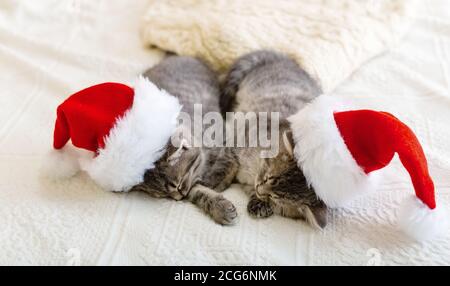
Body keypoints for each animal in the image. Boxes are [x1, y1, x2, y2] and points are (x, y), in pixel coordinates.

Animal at [130, 55, 237, 226]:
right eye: (163, 195)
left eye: (177, 184)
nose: (178, 199)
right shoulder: (192, 182)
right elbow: (198, 191)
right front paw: (219, 206)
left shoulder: (226, 138)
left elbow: (228, 162)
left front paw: (216, 181)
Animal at [219, 49, 326, 228]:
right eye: (268, 178)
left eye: (276, 199)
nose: (259, 189)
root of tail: (281, 57)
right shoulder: (236, 130)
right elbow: (230, 161)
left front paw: (259, 204)